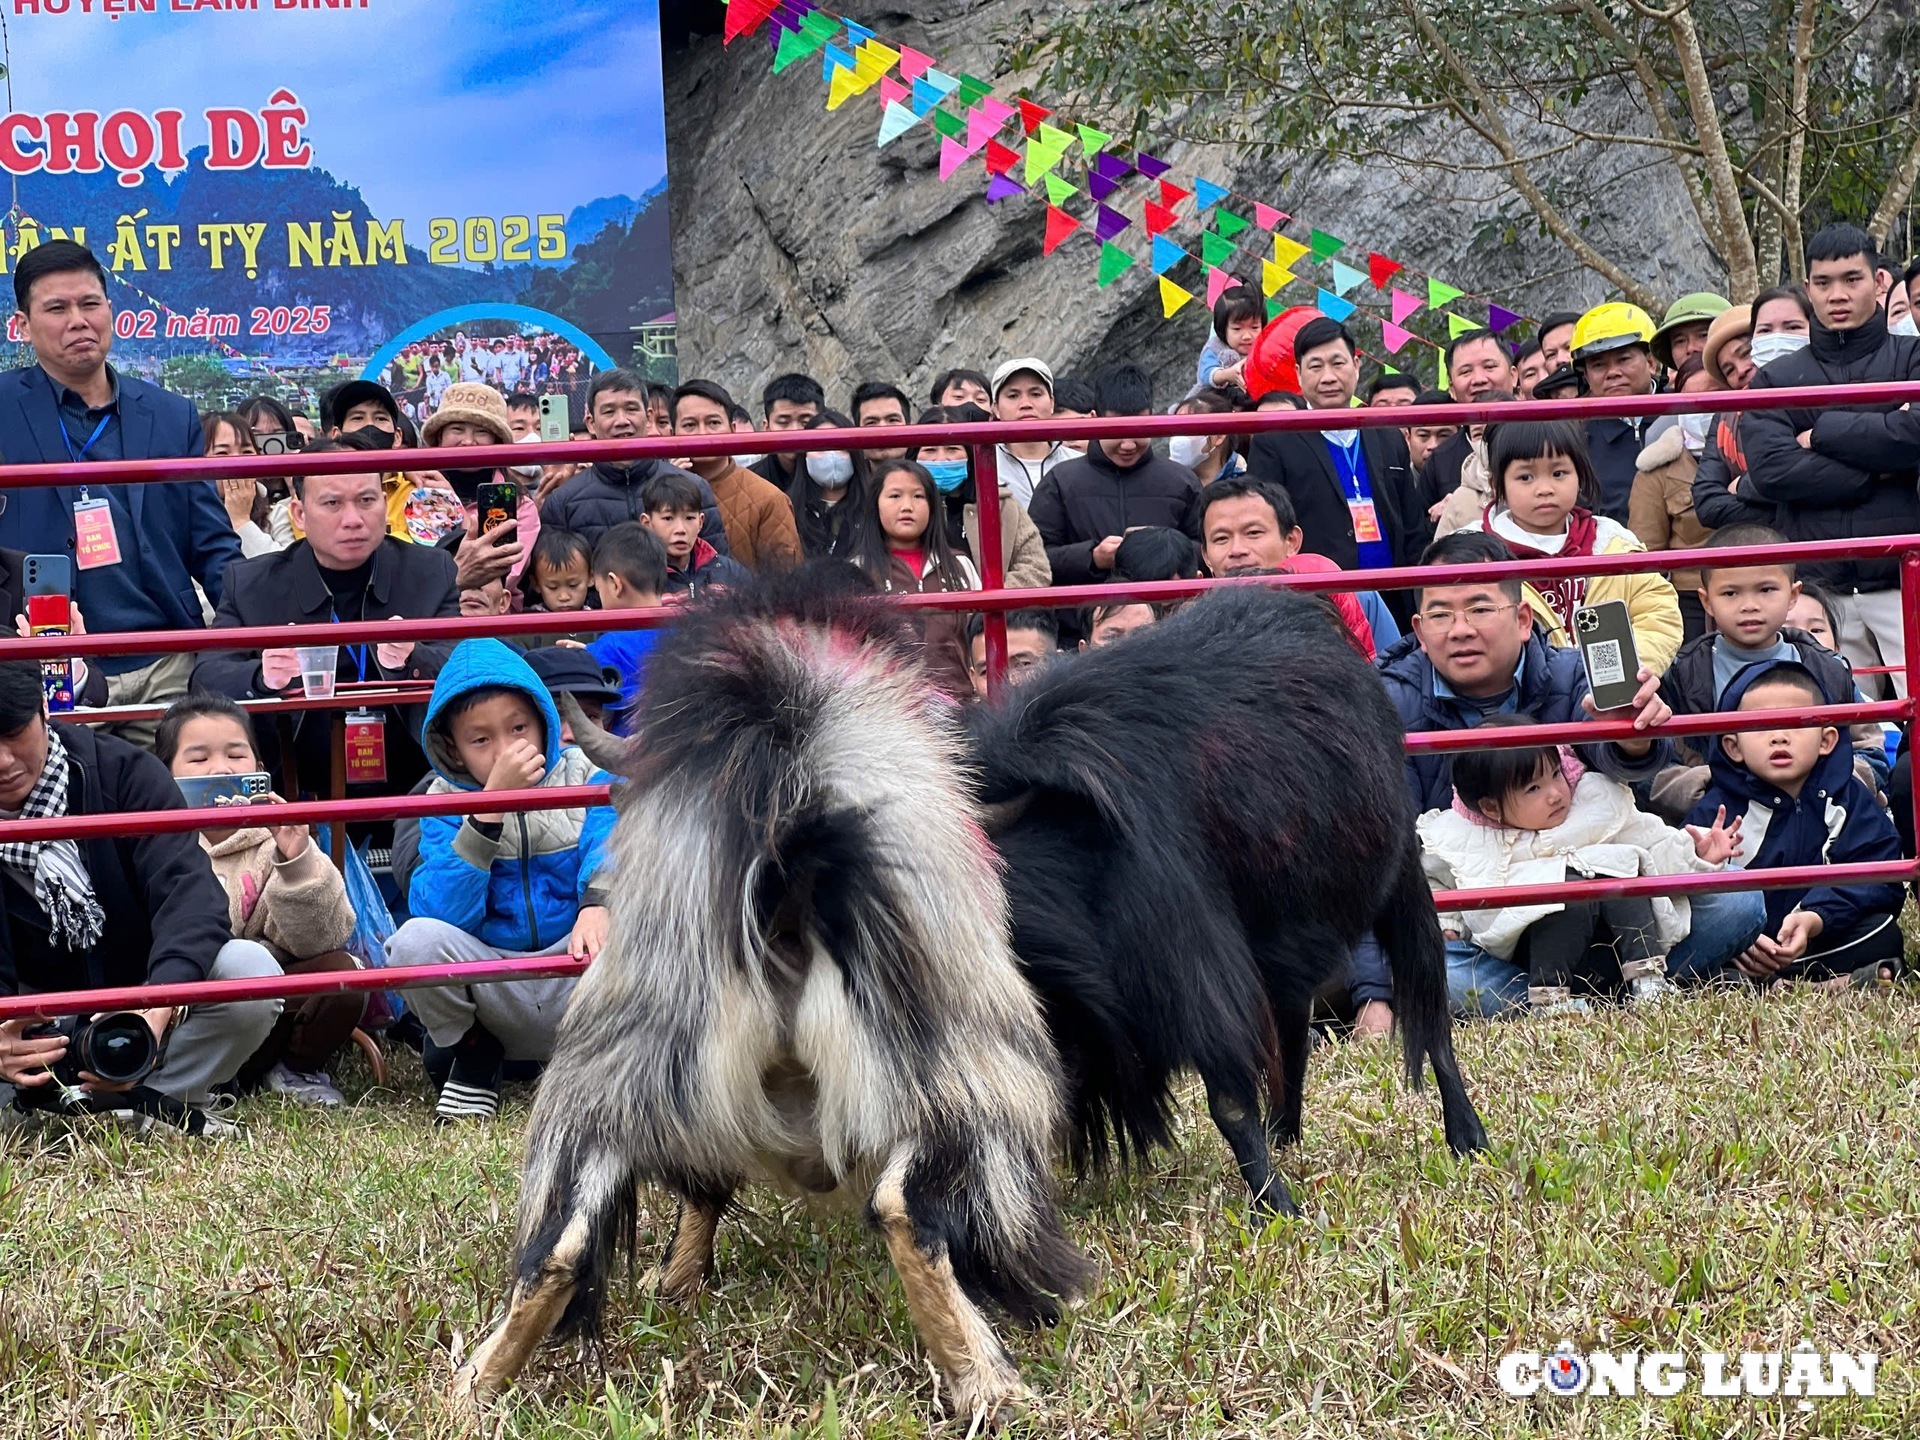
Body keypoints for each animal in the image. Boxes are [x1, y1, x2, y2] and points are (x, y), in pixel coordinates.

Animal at [439, 576, 1090, 1420]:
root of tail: (791, 865)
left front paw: (679, 1282)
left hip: (621, 1063)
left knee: (562, 1240)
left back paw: (471, 1388)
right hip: (965, 1062)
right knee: (907, 1208)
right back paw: (996, 1376)